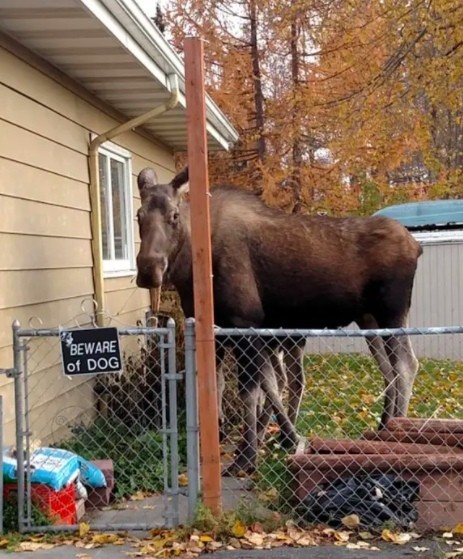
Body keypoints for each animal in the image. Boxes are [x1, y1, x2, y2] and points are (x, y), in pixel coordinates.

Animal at [135, 168, 424, 474]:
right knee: (388, 371)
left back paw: (396, 434)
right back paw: (382, 427)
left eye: (174, 215)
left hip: (392, 313)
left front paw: (247, 456)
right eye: (139, 215)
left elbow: (251, 391)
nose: (148, 270)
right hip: (369, 320)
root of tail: (416, 246)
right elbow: (226, 385)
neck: (192, 271)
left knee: (406, 365)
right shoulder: (219, 331)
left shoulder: (245, 323)